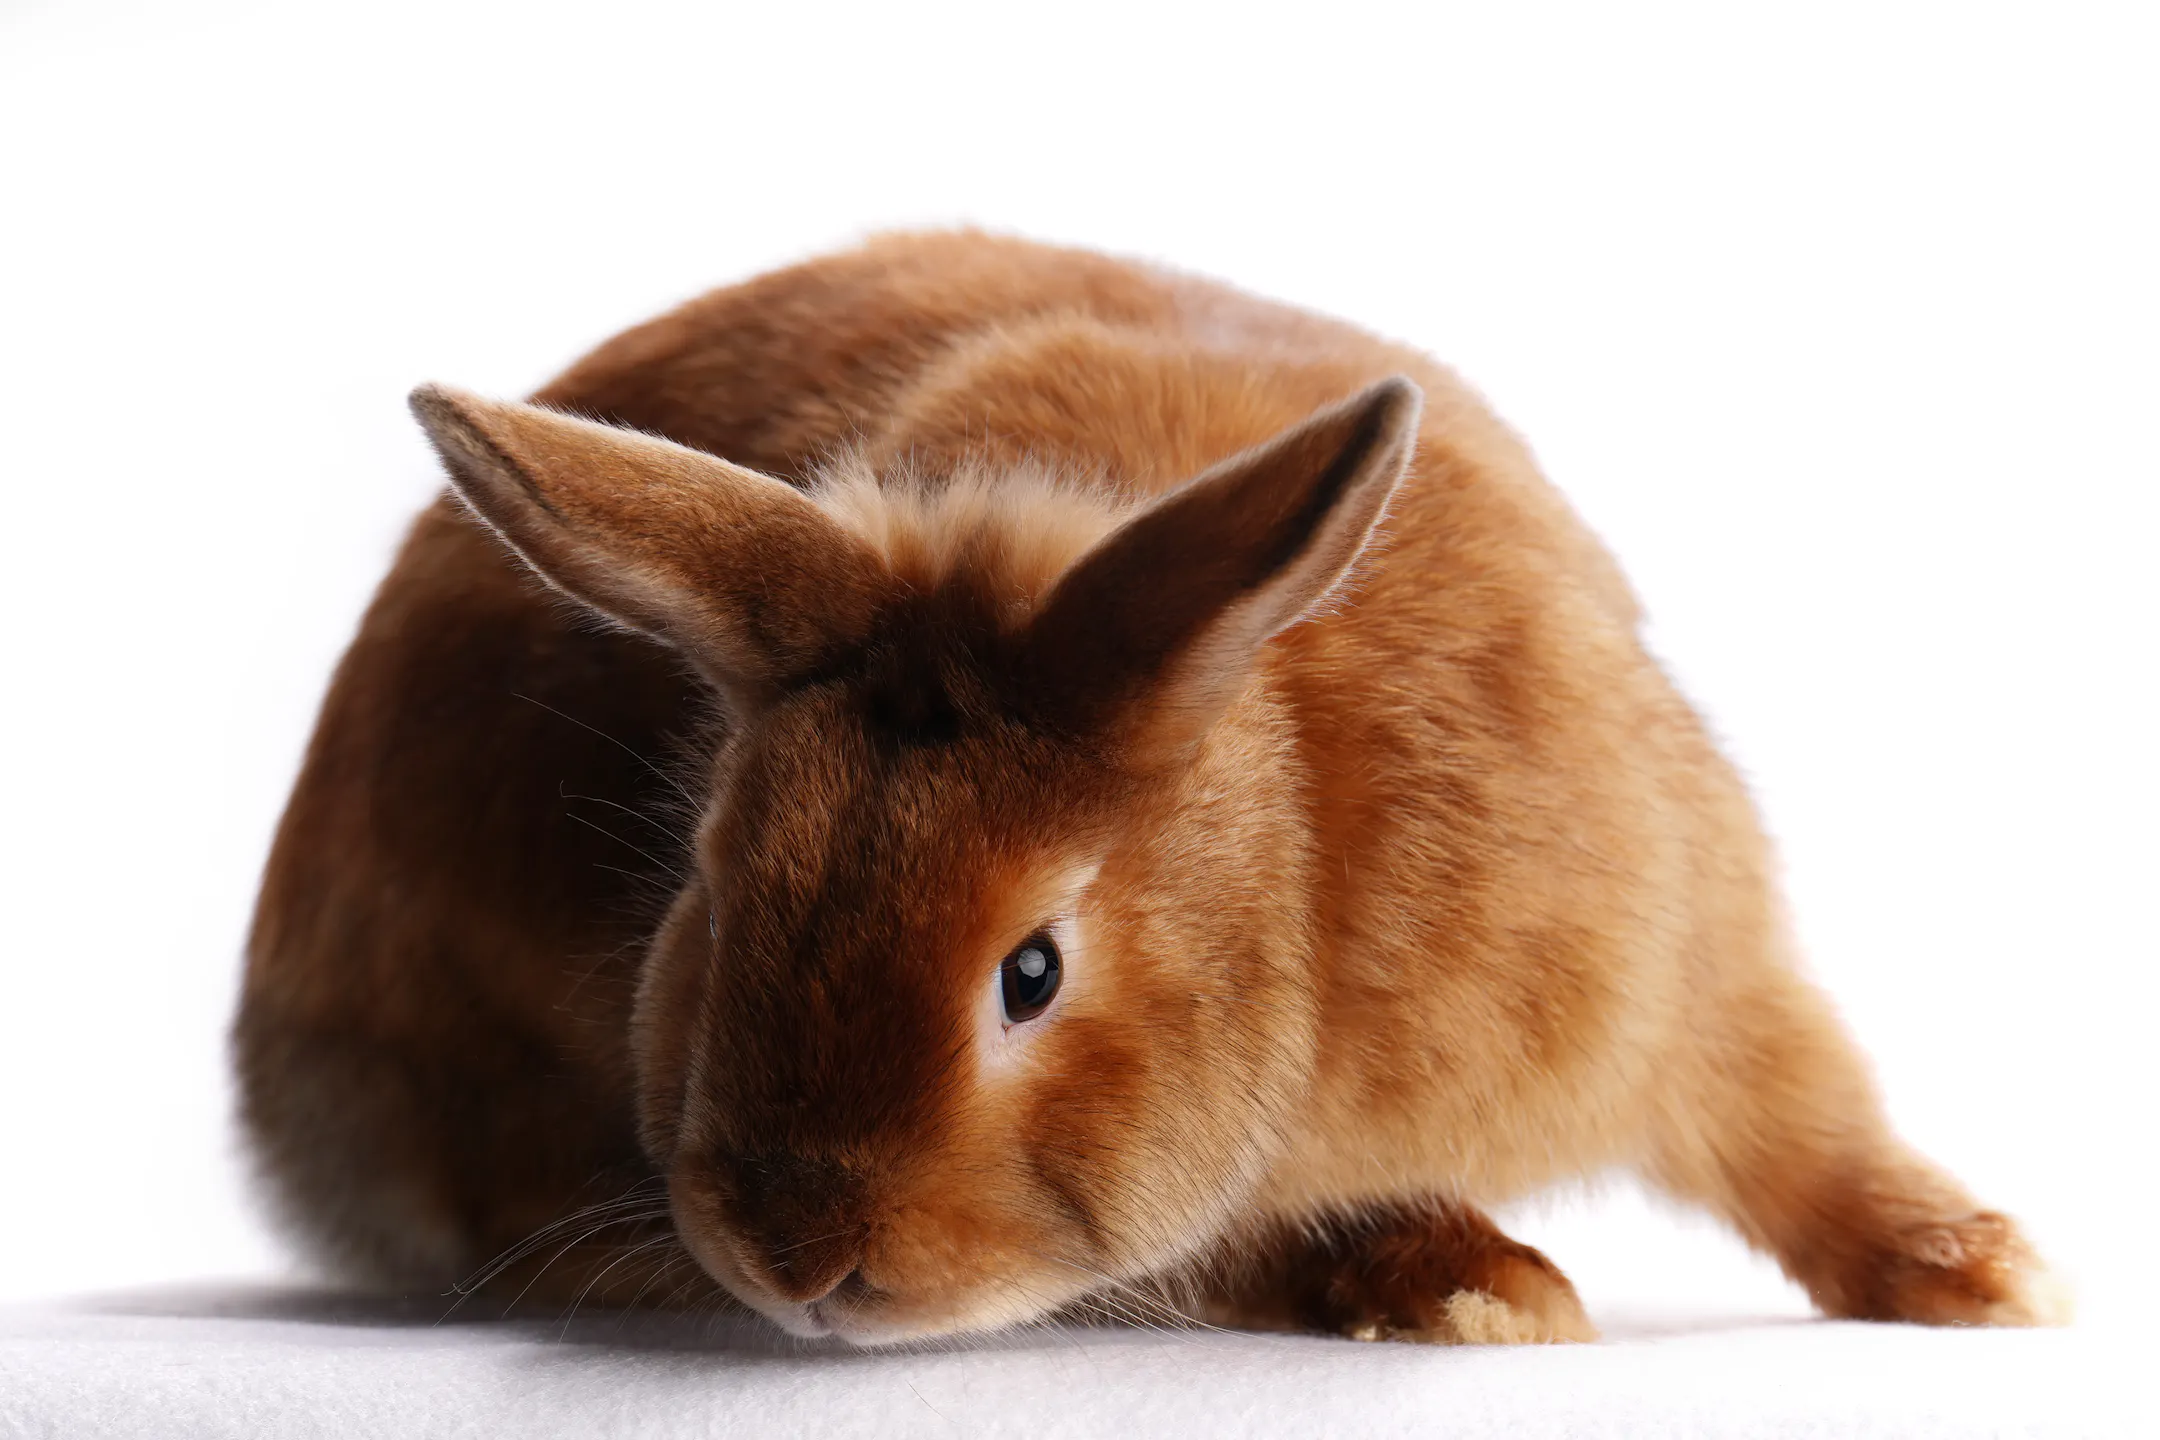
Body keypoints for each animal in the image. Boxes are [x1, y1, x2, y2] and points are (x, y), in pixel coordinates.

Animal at [234, 230, 2062, 1345]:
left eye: (1033, 973)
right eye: (712, 894)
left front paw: (1989, 1277)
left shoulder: (1689, 965)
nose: (793, 1262)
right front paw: (1476, 1285)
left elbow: (1808, 1131)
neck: (1302, 848)